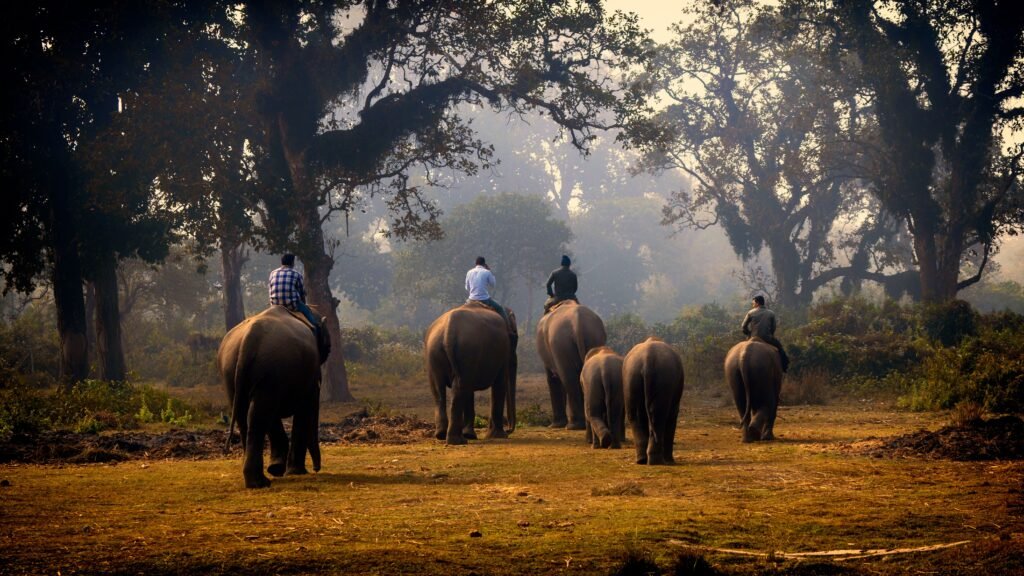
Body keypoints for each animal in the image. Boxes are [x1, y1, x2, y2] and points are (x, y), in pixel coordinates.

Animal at [218, 305, 329, 489]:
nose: (317, 468)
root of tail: (248, 341)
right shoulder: (309, 377)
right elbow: (305, 408)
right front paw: (294, 471)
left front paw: (278, 468)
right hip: (269, 369)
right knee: (259, 414)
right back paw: (260, 481)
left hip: (234, 372)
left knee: (250, 414)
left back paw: (258, 479)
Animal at [425, 302, 518, 445]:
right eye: (516, 338)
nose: (509, 429)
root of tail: (449, 330)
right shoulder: (503, 352)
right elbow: (500, 383)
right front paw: (499, 436)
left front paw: (470, 434)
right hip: (466, 350)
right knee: (459, 387)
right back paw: (458, 441)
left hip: (435, 352)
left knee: (440, 389)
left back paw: (442, 435)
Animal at [535, 301, 607, 430]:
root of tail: (577, 322)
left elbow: (553, 378)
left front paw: (554, 426)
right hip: (593, 337)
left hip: (560, 343)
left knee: (568, 378)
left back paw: (573, 426)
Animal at [622, 337, 684, 465]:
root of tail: (647, 360)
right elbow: (673, 414)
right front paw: (670, 461)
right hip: (662, 379)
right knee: (658, 415)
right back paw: (658, 461)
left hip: (631, 377)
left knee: (636, 415)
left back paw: (642, 460)